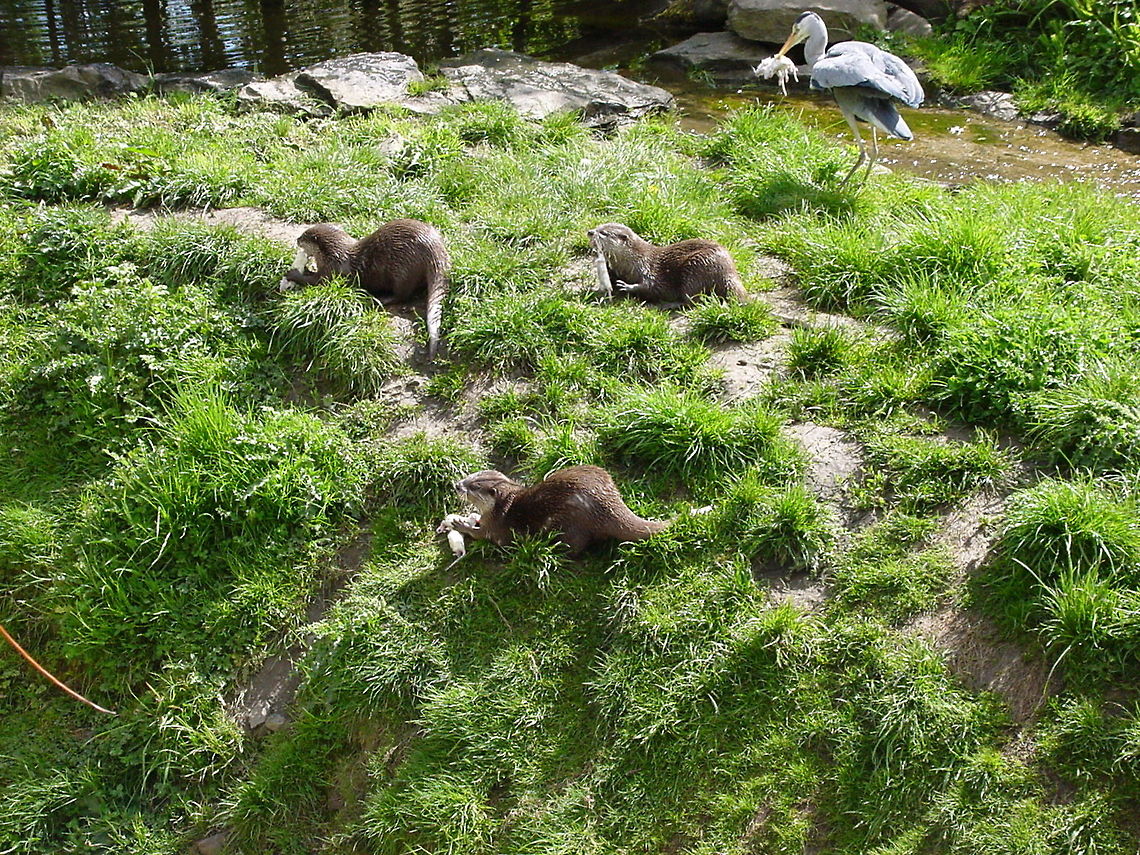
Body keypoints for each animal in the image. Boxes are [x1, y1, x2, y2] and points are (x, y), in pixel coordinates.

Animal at [283, 219, 450, 360]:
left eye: (304, 236)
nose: (297, 239)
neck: (333, 254)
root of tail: (433, 246)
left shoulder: (332, 271)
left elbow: (316, 282)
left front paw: (294, 273)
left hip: (403, 270)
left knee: (403, 294)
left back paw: (380, 299)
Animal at [442, 465, 666, 555]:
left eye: (474, 487)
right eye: (471, 476)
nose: (457, 484)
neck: (499, 508)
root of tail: (607, 504)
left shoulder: (495, 528)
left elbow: (480, 535)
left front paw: (459, 524)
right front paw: (469, 516)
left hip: (570, 523)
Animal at [588, 222, 750, 305]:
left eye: (603, 233)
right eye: (597, 226)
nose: (590, 232)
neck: (633, 261)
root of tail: (729, 271)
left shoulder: (648, 268)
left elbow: (651, 286)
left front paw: (627, 286)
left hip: (696, 267)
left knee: (693, 299)